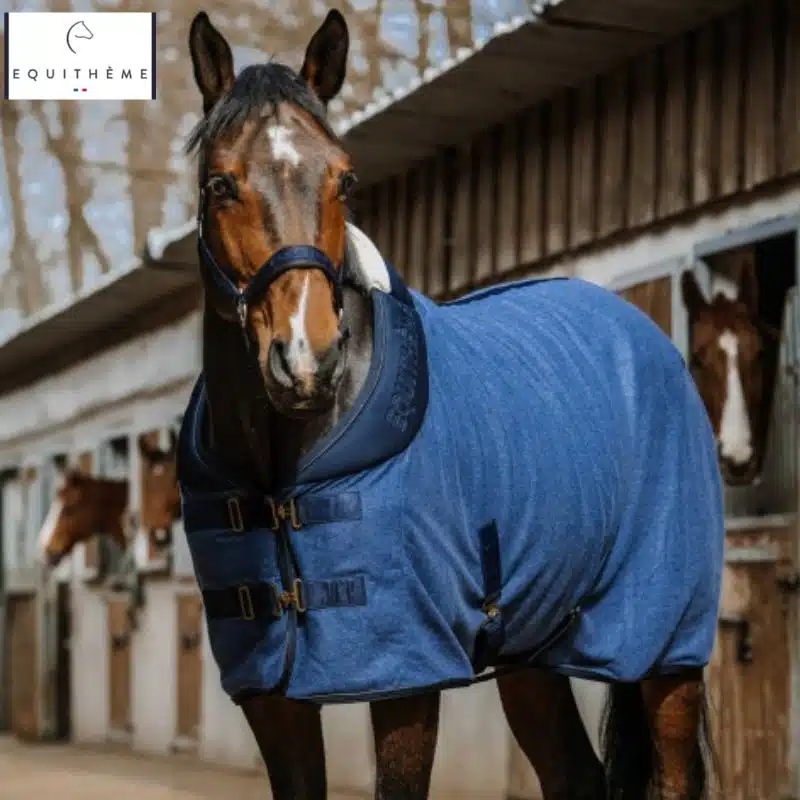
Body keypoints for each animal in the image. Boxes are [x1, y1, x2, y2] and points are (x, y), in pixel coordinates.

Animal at [177, 9, 722, 798]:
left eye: (345, 179)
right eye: (221, 184)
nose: (307, 359)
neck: (280, 477)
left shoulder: (408, 674)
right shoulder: (269, 692)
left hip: (664, 643)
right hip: (533, 647)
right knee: (574, 774)